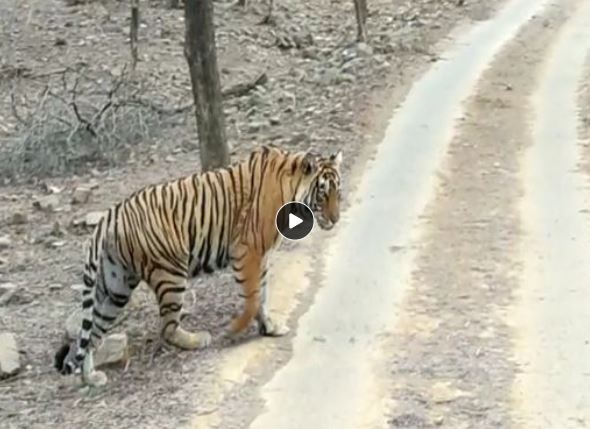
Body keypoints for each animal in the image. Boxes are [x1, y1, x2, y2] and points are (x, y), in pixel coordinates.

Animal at [55, 144, 344, 384]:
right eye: (322, 194)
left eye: (338, 193)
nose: (336, 219)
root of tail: (108, 217)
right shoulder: (247, 252)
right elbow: (252, 298)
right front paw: (233, 331)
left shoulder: (261, 257)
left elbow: (262, 295)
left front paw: (270, 328)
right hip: (170, 272)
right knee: (167, 328)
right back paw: (198, 339)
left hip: (115, 288)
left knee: (91, 334)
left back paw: (91, 378)